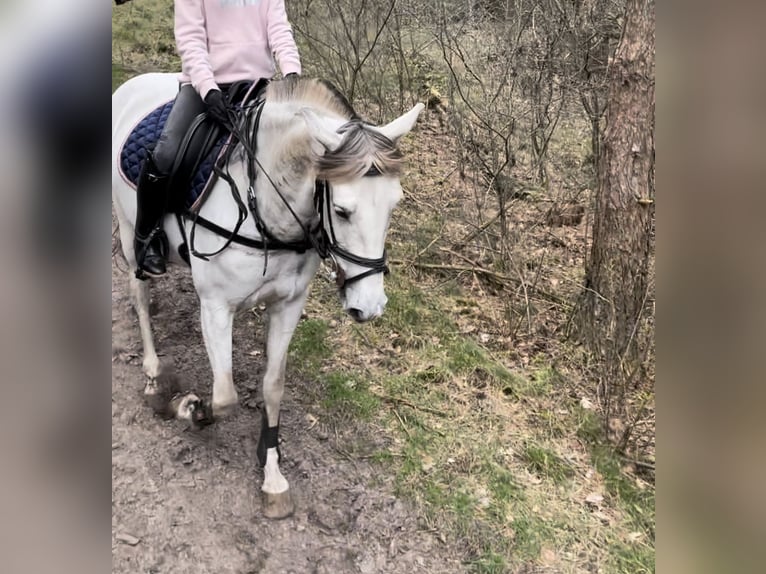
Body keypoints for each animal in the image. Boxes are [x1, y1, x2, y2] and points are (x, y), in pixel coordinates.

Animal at [112, 74, 426, 520]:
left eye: (393, 205)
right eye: (343, 211)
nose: (370, 306)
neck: (266, 206)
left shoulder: (288, 306)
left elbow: (273, 386)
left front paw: (273, 475)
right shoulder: (216, 307)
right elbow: (225, 396)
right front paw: (189, 408)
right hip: (127, 232)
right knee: (138, 293)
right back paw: (155, 375)